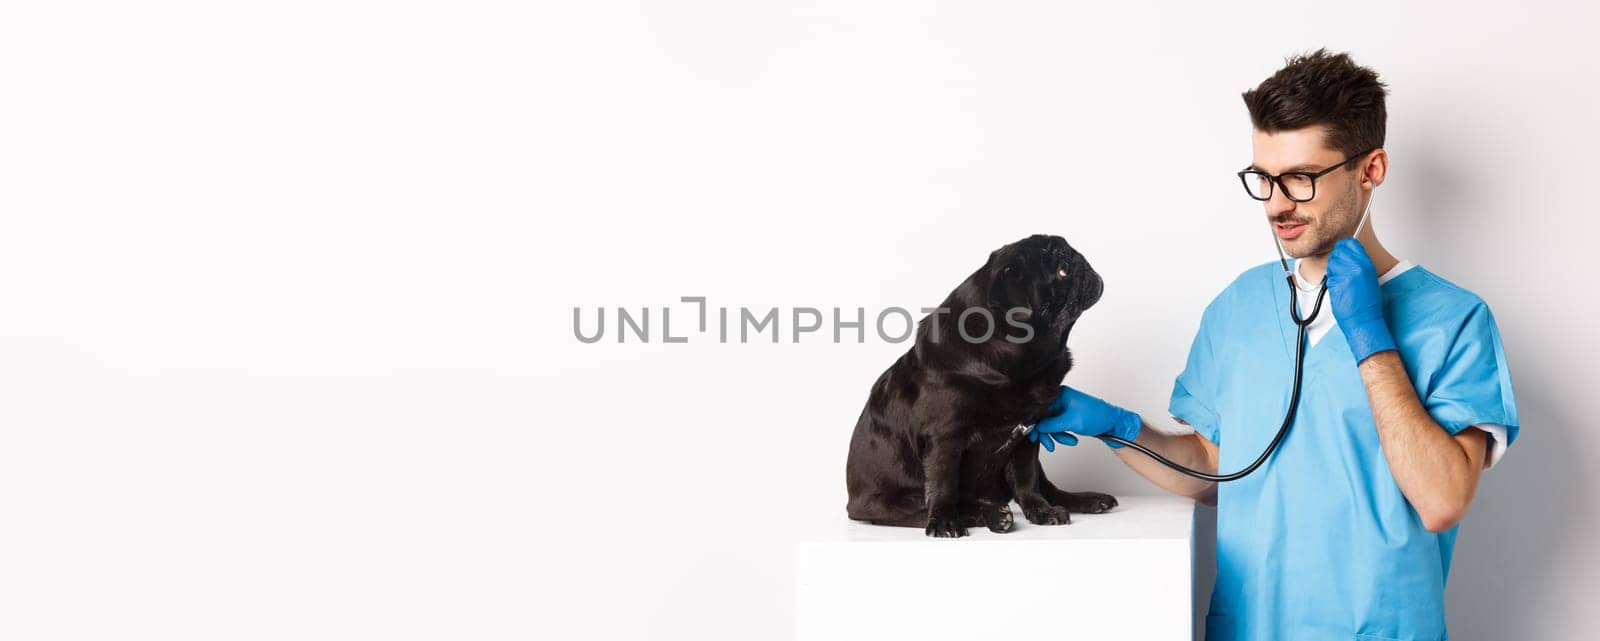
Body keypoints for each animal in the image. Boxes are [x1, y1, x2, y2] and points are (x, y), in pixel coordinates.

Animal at [851, 233, 1113, 533]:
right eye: (1061, 270)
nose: (1075, 257)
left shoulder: (1028, 436)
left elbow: (1027, 481)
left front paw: (1042, 511)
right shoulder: (944, 438)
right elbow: (943, 484)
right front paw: (944, 521)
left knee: (1045, 486)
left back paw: (1083, 500)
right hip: (887, 503)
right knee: (923, 508)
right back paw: (990, 515)